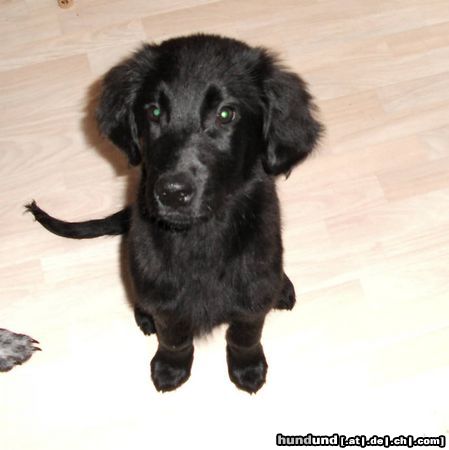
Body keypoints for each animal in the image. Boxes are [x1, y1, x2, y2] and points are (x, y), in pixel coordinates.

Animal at [27, 34, 322, 394]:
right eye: (154, 112)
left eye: (226, 114)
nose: (172, 193)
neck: (201, 235)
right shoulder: (164, 295)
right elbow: (174, 338)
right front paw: (171, 368)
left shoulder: (252, 292)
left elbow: (245, 335)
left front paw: (248, 367)